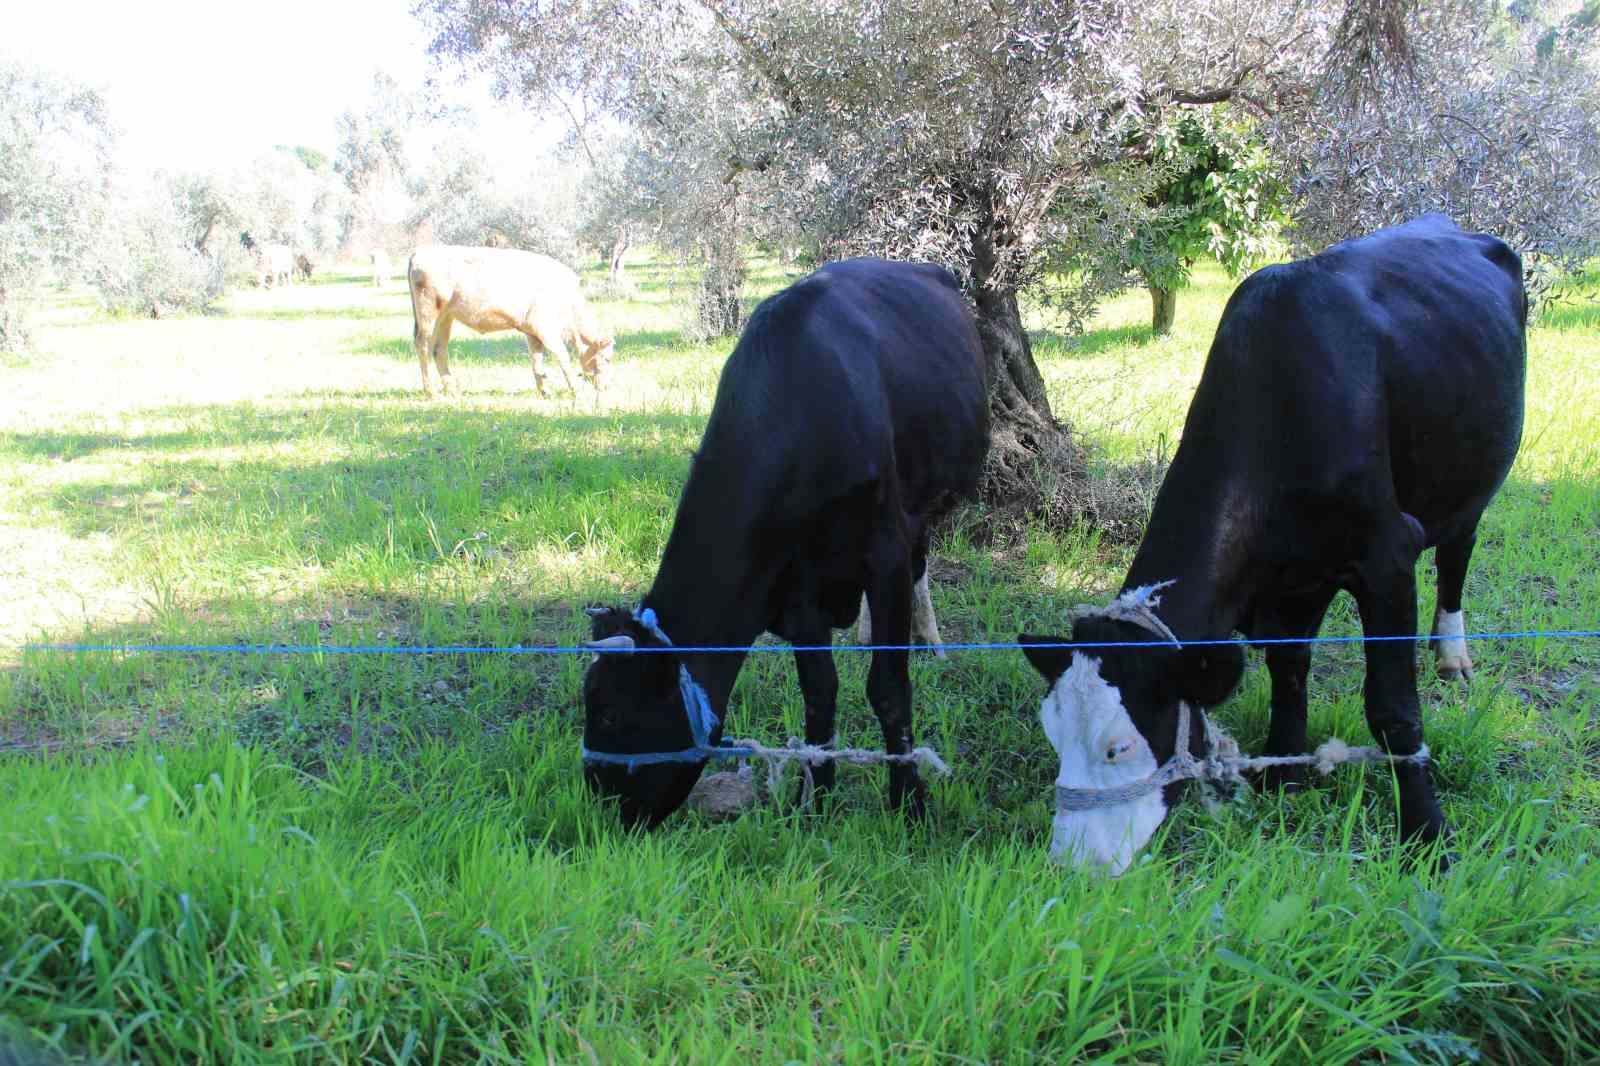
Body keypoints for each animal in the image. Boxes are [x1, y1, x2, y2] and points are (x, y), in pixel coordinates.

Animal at [406, 244, 611, 398]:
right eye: (607, 358)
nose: (606, 387)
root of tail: (420, 252)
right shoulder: (546, 330)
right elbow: (563, 357)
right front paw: (576, 390)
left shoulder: (532, 333)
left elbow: (537, 362)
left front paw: (545, 391)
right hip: (428, 314)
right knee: (423, 346)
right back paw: (431, 392)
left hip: (445, 318)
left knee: (439, 349)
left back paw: (453, 390)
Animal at [582, 252, 992, 825]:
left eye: (611, 715)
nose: (600, 807)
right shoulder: (799, 586)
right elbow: (819, 692)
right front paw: (814, 800)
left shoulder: (882, 553)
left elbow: (888, 687)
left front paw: (909, 800)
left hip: (925, 507)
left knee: (921, 567)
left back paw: (929, 641)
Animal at [1017, 216, 1529, 870]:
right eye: (1053, 734)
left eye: (1119, 747)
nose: (1072, 862)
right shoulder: (1294, 579)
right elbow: (1289, 668)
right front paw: (1285, 774)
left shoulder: (1387, 556)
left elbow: (1392, 709)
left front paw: (1427, 833)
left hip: (1473, 481)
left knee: (1458, 553)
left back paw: (1453, 655)